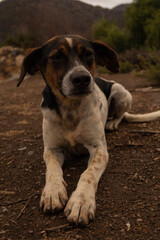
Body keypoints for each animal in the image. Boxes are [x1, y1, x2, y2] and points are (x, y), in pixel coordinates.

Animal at [17, 34, 160, 224]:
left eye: (89, 54)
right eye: (56, 57)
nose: (82, 78)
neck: (70, 108)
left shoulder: (99, 150)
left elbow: (88, 174)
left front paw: (81, 201)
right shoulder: (52, 149)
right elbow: (52, 169)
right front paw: (53, 191)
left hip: (121, 92)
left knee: (121, 114)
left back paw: (112, 123)